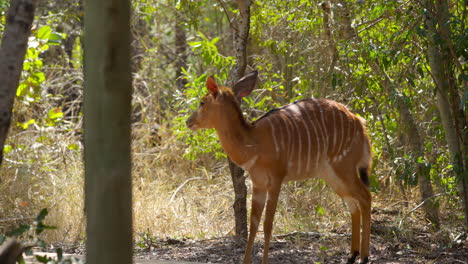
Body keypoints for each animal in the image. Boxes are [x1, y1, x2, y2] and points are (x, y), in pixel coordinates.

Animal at [186, 71, 372, 262]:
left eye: (202, 102)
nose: (188, 121)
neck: (254, 143)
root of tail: (360, 122)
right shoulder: (258, 183)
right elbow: (253, 224)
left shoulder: (276, 179)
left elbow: (268, 224)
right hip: (332, 174)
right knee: (353, 203)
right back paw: (352, 255)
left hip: (344, 167)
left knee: (365, 197)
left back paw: (364, 257)